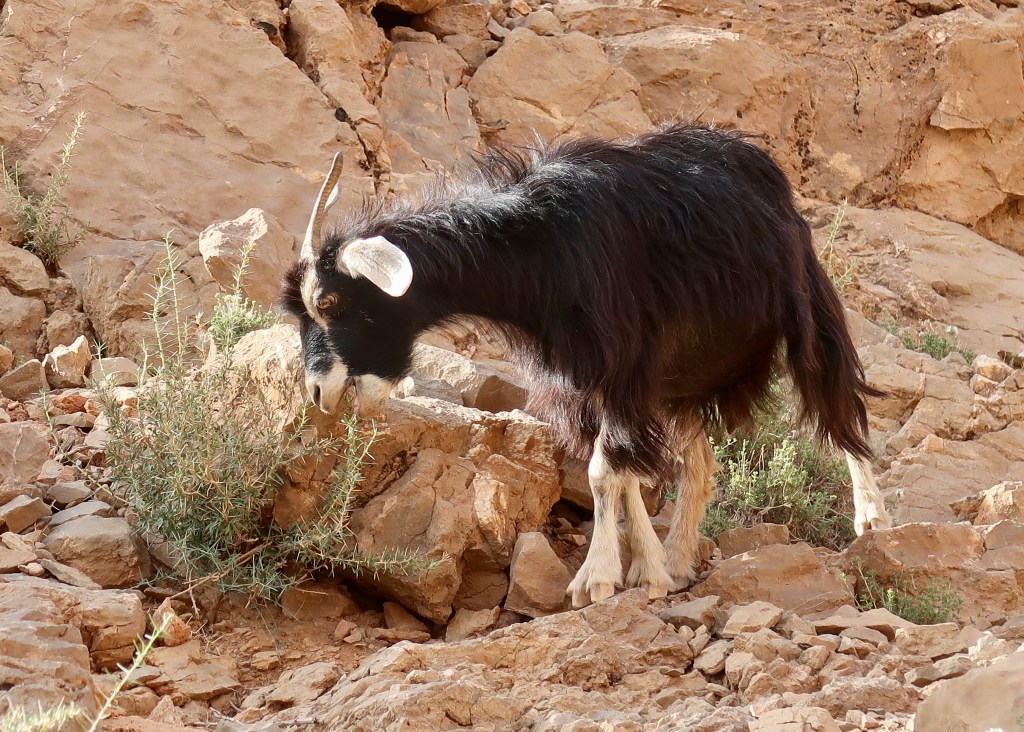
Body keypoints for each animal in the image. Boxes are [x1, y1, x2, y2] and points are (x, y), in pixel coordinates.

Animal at [281, 123, 892, 608]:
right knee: (699, 464)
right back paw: (680, 557)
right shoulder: (585, 382)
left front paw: (595, 579)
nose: (317, 392)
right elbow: (624, 474)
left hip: (807, 313)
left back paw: (872, 518)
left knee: (840, 405)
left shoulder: (623, 367)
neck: (541, 249)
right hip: (679, 379)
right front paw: (648, 570)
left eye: (330, 303)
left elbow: (604, 472)